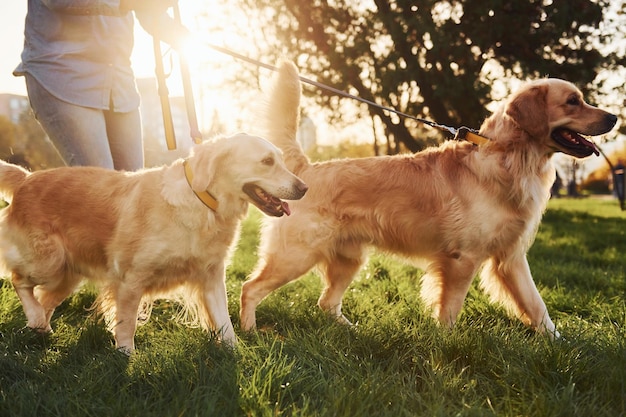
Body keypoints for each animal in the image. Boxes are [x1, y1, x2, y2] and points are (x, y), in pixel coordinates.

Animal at [0, 133, 308, 352]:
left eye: (280, 160)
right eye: (267, 161)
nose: (304, 188)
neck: (203, 204)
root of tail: (27, 177)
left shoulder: (211, 277)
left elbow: (225, 324)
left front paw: (236, 355)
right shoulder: (131, 279)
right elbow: (126, 326)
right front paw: (126, 359)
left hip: (66, 274)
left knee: (44, 300)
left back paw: (40, 327)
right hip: (48, 262)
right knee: (19, 281)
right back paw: (36, 319)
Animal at [239, 61, 616, 338]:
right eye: (573, 101)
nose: (614, 117)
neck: (507, 157)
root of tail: (305, 169)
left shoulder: (511, 257)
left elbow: (538, 306)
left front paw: (558, 343)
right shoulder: (463, 259)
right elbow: (450, 309)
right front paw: (448, 345)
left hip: (349, 260)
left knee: (326, 303)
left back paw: (351, 331)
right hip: (295, 256)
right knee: (249, 288)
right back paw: (248, 332)